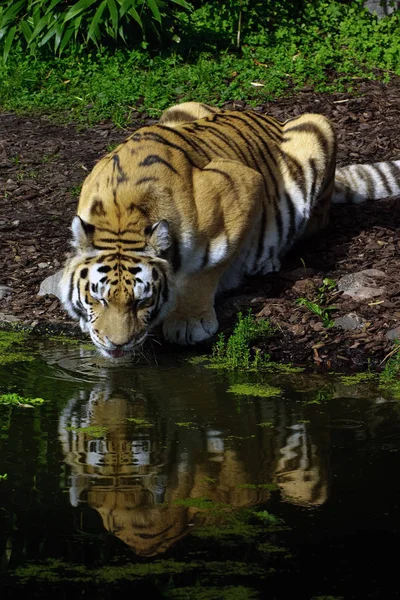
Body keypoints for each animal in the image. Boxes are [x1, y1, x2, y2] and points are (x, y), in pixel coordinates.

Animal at [59, 101, 400, 358]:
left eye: (141, 301)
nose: (118, 345)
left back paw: (267, 261)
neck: (123, 216)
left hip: (318, 127)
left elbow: (205, 268)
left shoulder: (241, 185)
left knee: (315, 222)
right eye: (100, 299)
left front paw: (189, 323)